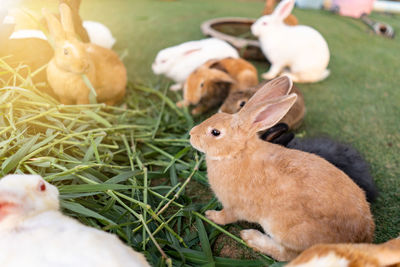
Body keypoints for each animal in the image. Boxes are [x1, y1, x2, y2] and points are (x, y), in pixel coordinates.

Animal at [189, 76, 374, 262]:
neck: (238, 153)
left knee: (287, 255)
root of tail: (363, 237)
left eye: (215, 132)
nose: (191, 134)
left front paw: (210, 215)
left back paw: (251, 237)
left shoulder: (233, 207)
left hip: (285, 229)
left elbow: (226, 217)